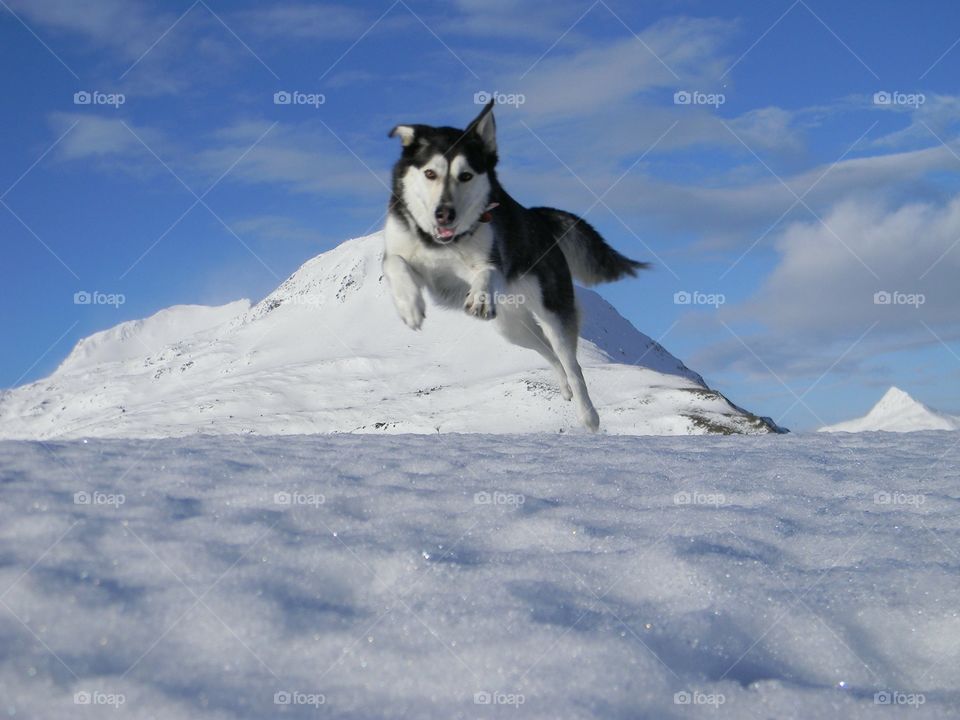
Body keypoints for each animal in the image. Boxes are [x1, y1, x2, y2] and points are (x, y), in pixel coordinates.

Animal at [382, 98, 644, 430]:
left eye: (466, 175)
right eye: (430, 173)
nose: (444, 214)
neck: (443, 242)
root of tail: (536, 217)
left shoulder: (493, 261)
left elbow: (487, 271)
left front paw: (480, 296)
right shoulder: (403, 254)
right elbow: (396, 263)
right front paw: (410, 305)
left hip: (551, 312)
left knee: (572, 363)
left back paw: (588, 415)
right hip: (511, 327)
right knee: (550, 354)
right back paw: (564, 388)